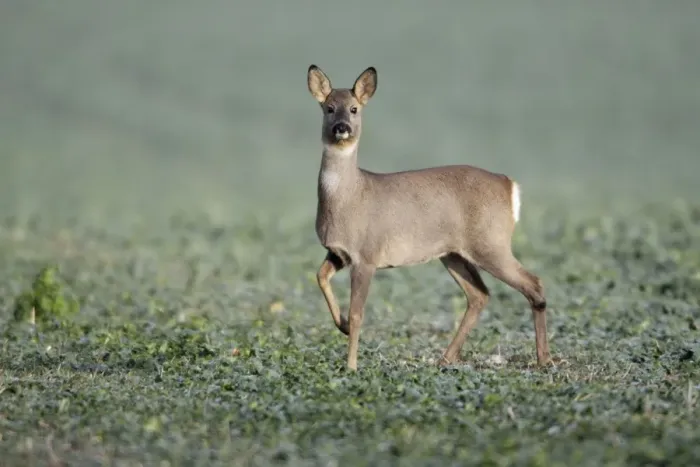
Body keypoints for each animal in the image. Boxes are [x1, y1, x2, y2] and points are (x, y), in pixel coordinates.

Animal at [307, 64, 551, 371]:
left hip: (491, 243)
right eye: (328, 108)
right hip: (453, 253)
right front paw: (341, 326)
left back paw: (544, 359)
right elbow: (320, 277)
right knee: (479, 295)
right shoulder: (339, 252)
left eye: (354, 109)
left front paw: (351, 366)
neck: (349, 197)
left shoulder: (367, 255)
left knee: (533, 283)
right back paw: (445, 359)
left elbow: (357, 313)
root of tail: (509, 185)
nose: (342, 128)